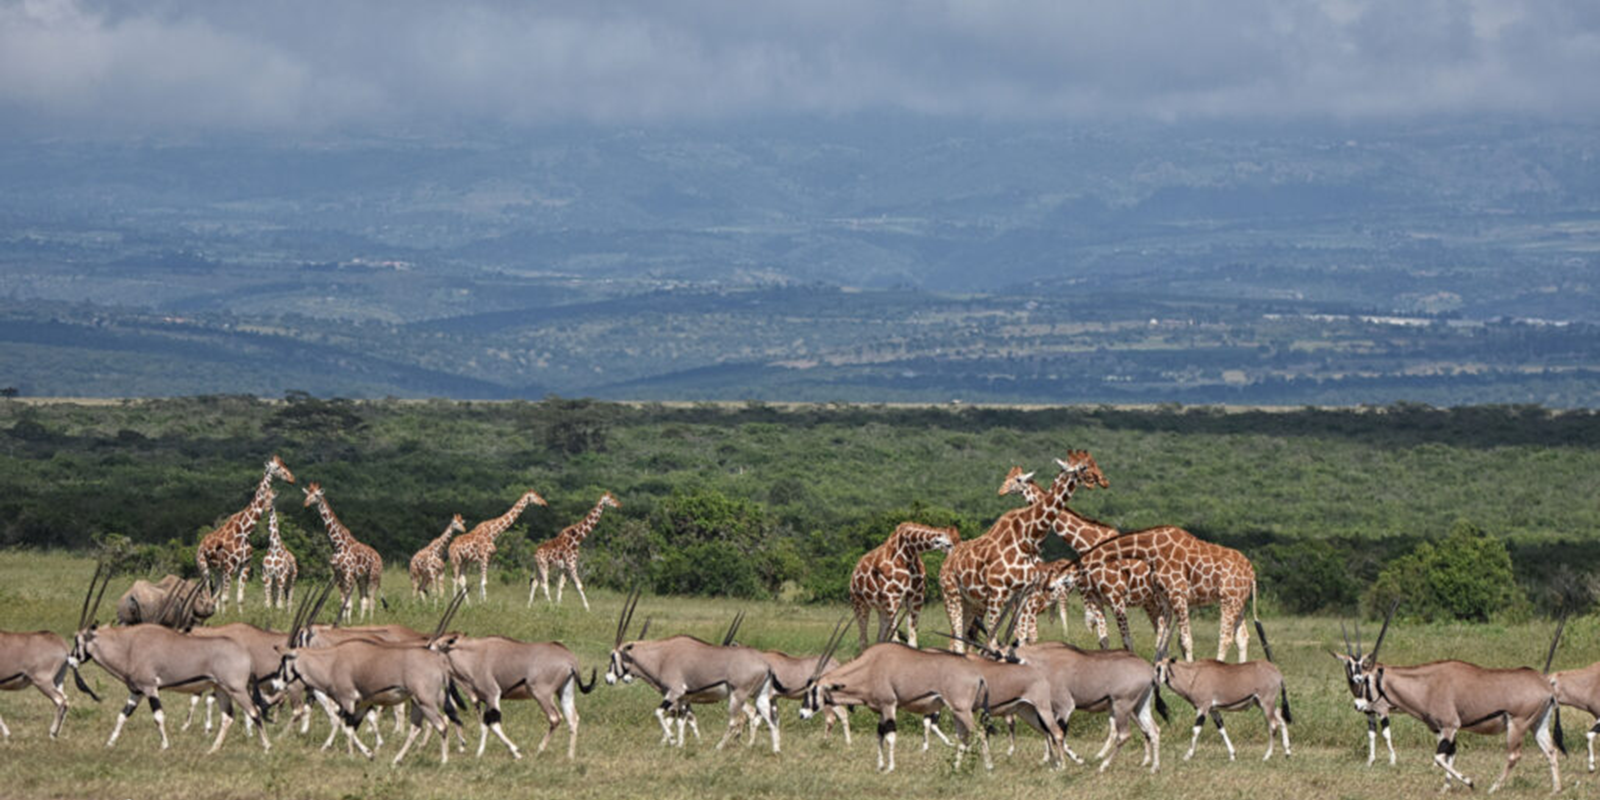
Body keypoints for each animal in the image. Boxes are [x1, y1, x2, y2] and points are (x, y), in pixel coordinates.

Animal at [196, 457, 296, 611]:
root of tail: (200, 545)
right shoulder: (229, 566)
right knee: (208, 592)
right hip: (203, 567)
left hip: (217, 570)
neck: (244, 531)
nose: (292, 478)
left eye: (284, 464)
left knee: (214, 594)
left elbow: (239, 598)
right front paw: (225, 617)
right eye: (277, 467)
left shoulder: (245, 566)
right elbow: (225, 598)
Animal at [302, 480, 384, 617]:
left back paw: (370, 620)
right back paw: (362, 620)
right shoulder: (338, 575)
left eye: (317, 495)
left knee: (373, 600)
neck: (337, 545)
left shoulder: (348, 573)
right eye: (308, 493)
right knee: (365, 599)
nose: (305, 504)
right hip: (362, 578)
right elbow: (343, 603)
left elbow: (348, 603)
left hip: (374, 575)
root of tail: (379, 557)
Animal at [851, 518, 960, 649]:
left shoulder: (916, 598)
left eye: (959, 539)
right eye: (949, 545)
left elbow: (912, 638)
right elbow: (895, 637)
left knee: (879, 638)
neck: (908, 554)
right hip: (859, 604)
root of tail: (855, 571)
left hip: (881, 608)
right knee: (863, 639)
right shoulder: (892, 597)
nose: (958, 556)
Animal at [934, 460, 1100, 652]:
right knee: (957, 635)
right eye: (1081, 468)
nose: (1093, 480)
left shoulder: (1024, 593)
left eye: (1086, 466)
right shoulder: (998, 591)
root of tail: (946, 562)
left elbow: (1019, 638)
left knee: (962, 634)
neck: (1027, 537)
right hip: (951, 594)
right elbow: (994, 639)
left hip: (971, 601)